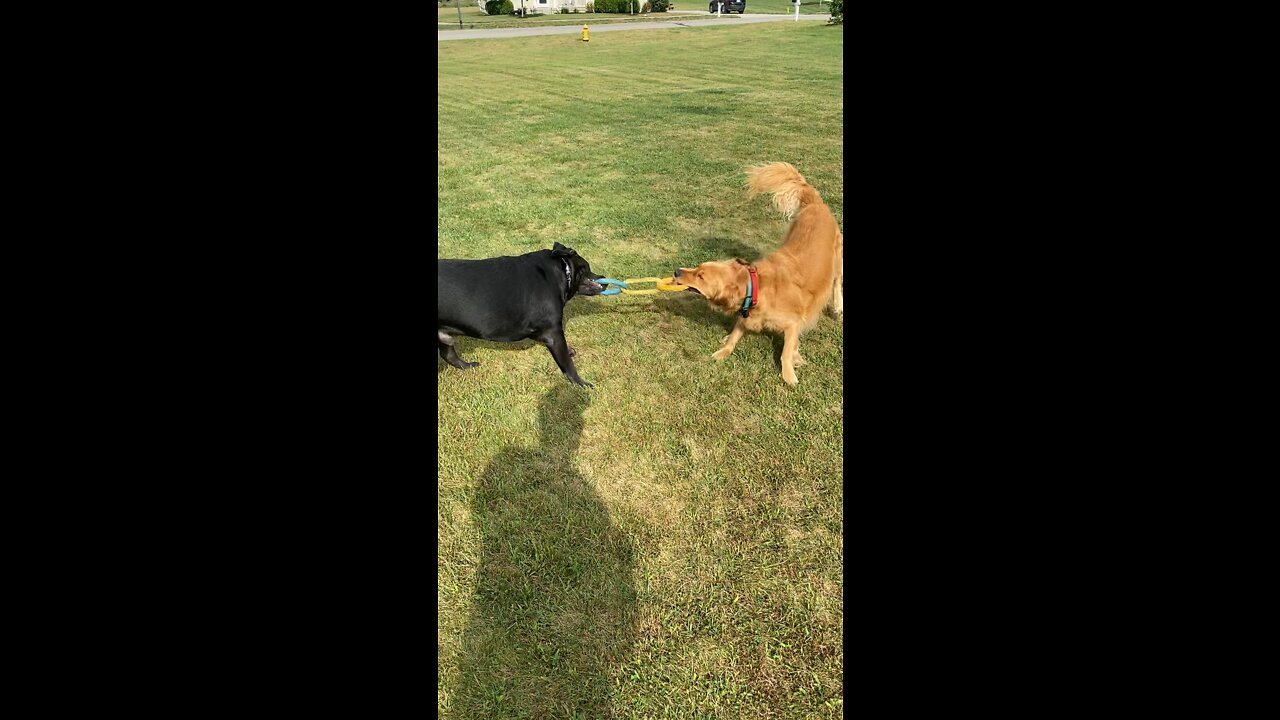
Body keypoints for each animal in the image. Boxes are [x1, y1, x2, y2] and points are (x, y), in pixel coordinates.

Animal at [440, 240, 604, 386]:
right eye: (587, 267)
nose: (603, 277)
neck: (562, 271)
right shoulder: (553, 333)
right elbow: (567, 364)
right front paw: (581, 383)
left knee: (448, 355)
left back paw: (468, 366)